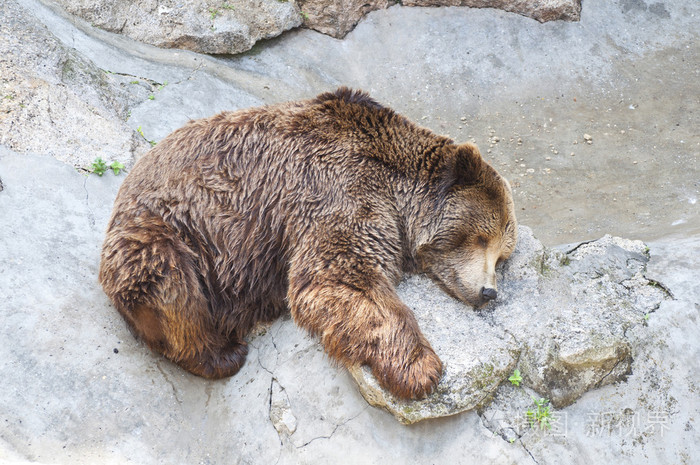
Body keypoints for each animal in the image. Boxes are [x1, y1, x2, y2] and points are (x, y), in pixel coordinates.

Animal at [99, 87, 517, 400]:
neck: (397, 184)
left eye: (502, 256)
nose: (489, 292)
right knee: (171, 285)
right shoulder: (340, 185)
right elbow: (340, 273)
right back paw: (224, 352)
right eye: (481, 237)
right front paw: (421, 368)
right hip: (169, 233)